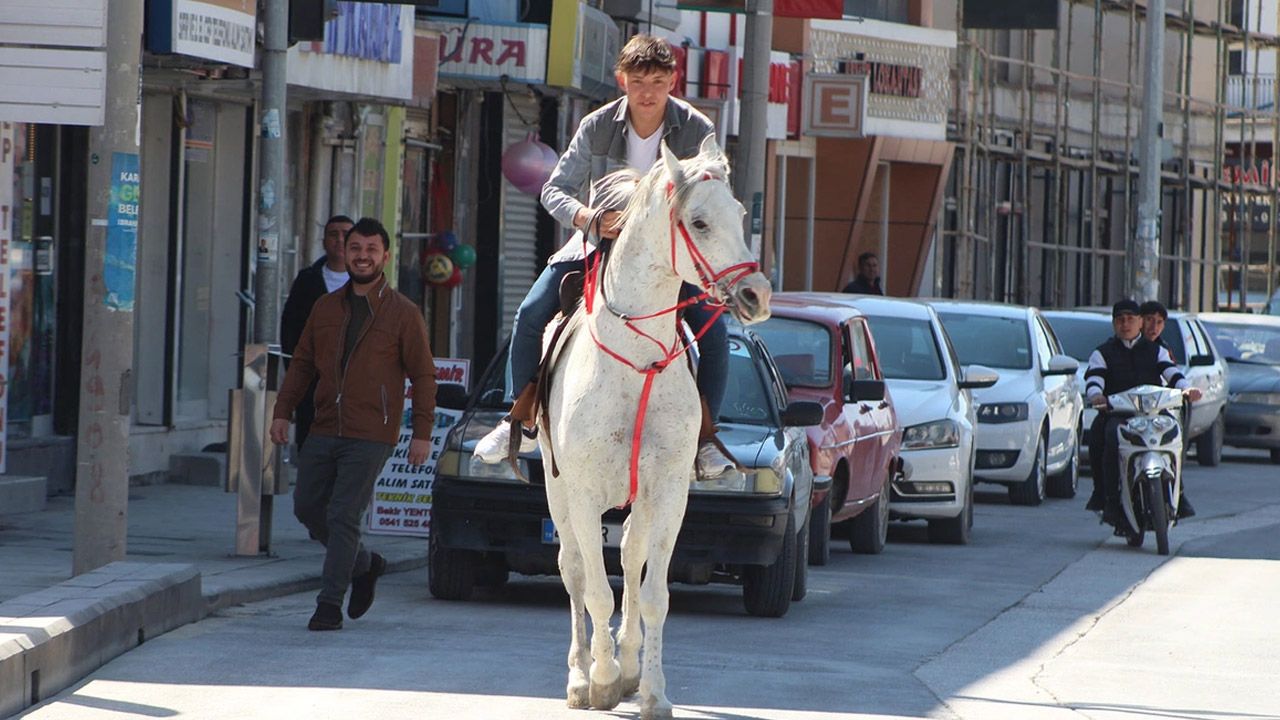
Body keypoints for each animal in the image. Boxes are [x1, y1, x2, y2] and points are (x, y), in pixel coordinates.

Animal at [537, 135, 768, 717]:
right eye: (700, 222)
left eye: (740, 214)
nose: (757, 296)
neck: (636, 364)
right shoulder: (582, 494)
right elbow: (597, 590)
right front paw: (599, 680)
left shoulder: (667, 493)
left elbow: (653, 595)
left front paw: (652, 690)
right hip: (557, 490)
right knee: (574, 569)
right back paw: (581, 676)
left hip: (637, 500)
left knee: (629, 557)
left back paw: (629, 667)